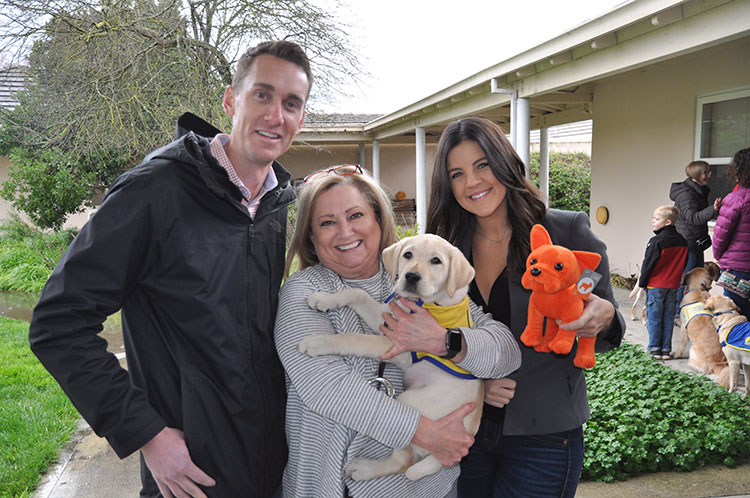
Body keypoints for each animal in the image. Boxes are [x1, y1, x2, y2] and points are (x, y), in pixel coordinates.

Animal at [298, 233, 482, 482]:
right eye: (407, 255)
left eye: (436, 261)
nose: (411, 276)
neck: (427, 302)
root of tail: (470, 426)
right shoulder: (385, 318)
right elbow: (358, 293)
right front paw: (324, 300)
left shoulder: (400, 345)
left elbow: (355, 339)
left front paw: (317, 342)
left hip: (410, 401)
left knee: (403, 461)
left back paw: (364, 468)